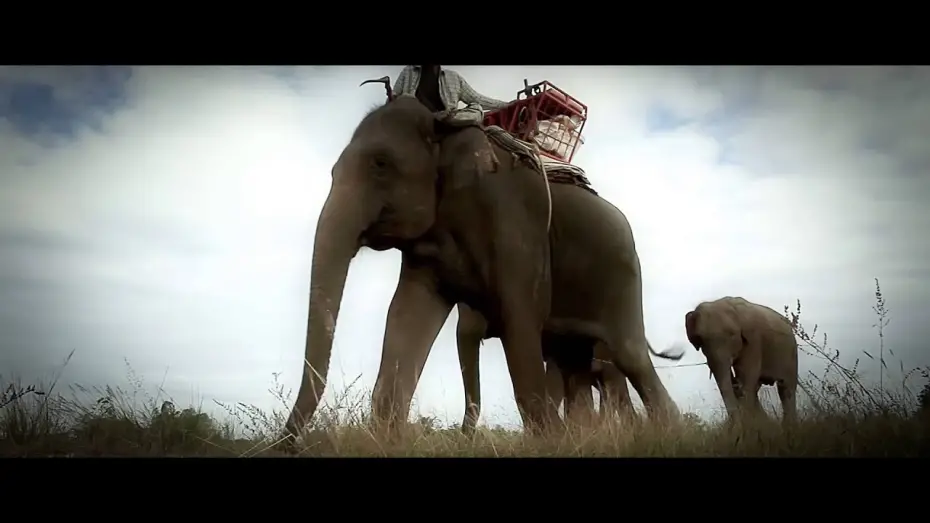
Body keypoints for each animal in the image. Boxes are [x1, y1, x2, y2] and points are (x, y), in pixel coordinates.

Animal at [684, 296, 798, 425]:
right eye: (700, 339)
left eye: (732, 334)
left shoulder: (754, 340)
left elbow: (746, 379)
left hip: (791, 351)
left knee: (786, 389)